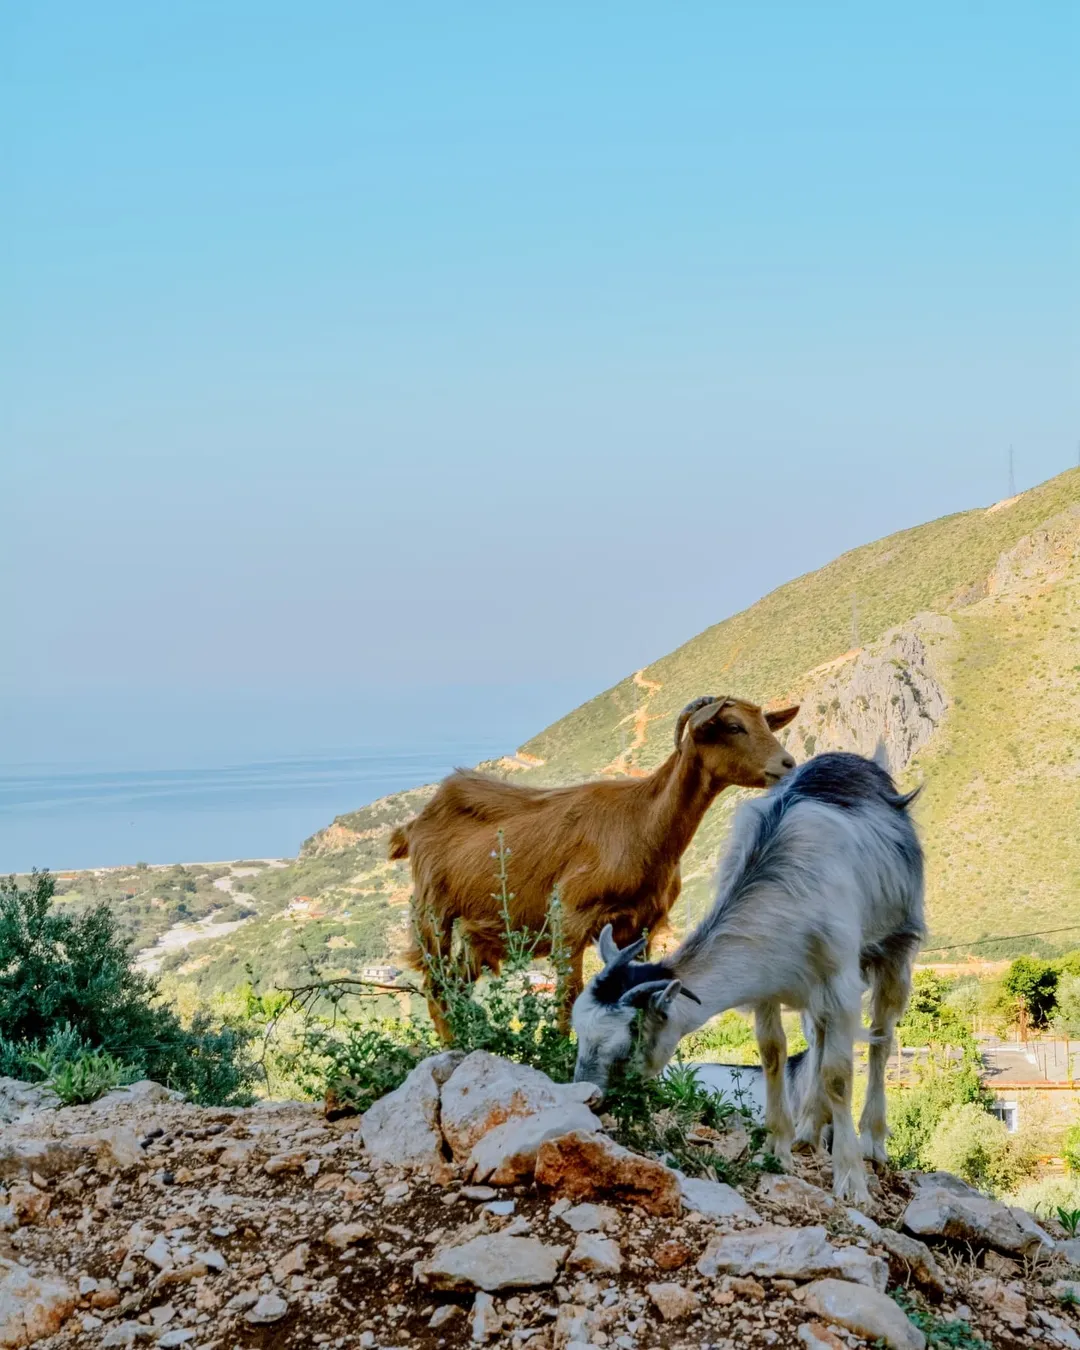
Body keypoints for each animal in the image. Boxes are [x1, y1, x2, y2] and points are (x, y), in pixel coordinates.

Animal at [391, 694, 799, 1040]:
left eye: (765, 722)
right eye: (732, 726)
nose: (788, 764)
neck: (643, 824)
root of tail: (414, 824)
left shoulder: (641, 925)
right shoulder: (569, 919)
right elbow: (567, 999)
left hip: (477, 933)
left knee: (457, 984)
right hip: (433, 913)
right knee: (435, 985)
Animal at [570, 750, 924, 1204]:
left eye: (625, 1047)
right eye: (580, 1033)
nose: (586, 1097)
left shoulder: (840, 981)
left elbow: (838, 1075)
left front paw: (851, 1181)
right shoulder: (768, 985)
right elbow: (773, 1053)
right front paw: (777, 1149)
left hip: (896, 942)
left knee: (882, 1035)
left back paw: (873, 1142)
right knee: (818, 1036)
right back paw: (808, 1129)